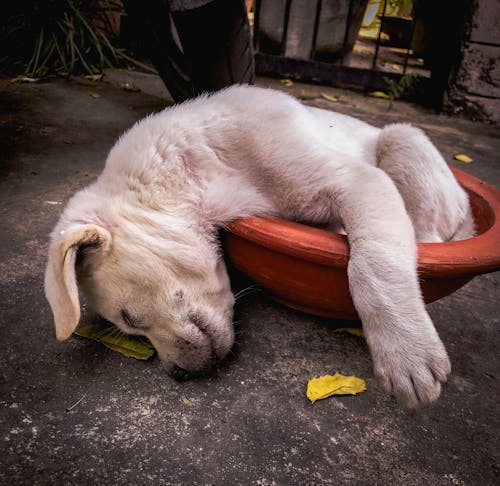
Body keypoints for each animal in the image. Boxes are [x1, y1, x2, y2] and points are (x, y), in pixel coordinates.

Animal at [45, 85, 474, 408]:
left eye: (129, 319)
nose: (180, 375)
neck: (206, 171)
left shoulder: (357, 180)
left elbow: (373, 265)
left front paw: (406, 352)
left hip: (404, 138)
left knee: (429, 235)